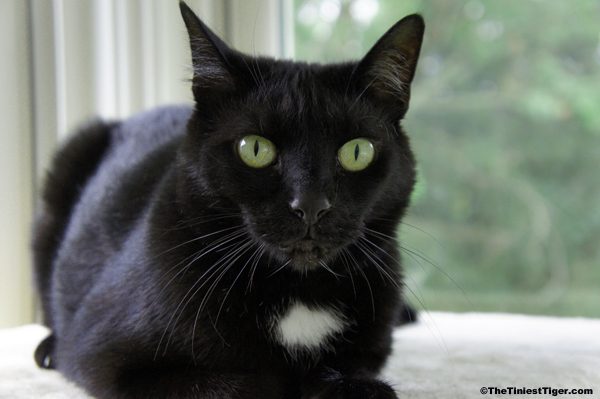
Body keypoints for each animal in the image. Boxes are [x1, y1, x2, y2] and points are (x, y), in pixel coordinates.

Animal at [32, 3, 424, 399]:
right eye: (255, 149)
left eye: (357, 152)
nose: (311, 204)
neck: (298, 295)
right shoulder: (103, 357)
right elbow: (241, 384)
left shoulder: (368, 349)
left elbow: (349, 372)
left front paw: (345, 385)